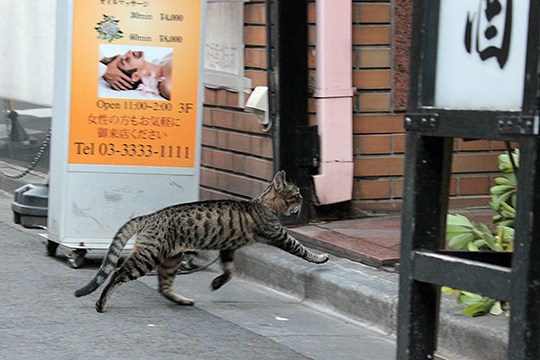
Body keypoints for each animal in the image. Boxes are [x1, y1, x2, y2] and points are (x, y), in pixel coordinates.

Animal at [75, 172, 330, 312]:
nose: (303, 199)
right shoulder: (279, 235)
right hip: (149, 256)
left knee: (163, 286)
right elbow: (302, 249)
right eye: (296, 194)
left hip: (171, 259)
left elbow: (230, 271)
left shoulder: (228, 248)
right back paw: (101, 303)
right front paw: (320, 258)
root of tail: (149, 216)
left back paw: (182, 300)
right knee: (117, 274)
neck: (262, 202)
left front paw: (217, 283)